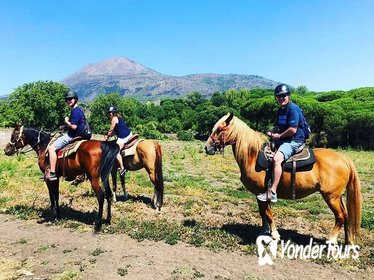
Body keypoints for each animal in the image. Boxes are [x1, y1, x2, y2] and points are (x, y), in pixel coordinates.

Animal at [205, 112, 362, 244]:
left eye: (219, 130)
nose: (207, 148)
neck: (253, 156)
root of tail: (344, 158)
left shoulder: (264, 192)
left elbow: (268, 213)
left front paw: (275, 235)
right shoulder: (259, 194)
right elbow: (263, 213)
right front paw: (264, 232)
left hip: (331, 196)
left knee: (340, 216)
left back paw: (331, 240)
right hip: (337, 196)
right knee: (346, 215)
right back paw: (348, 241)